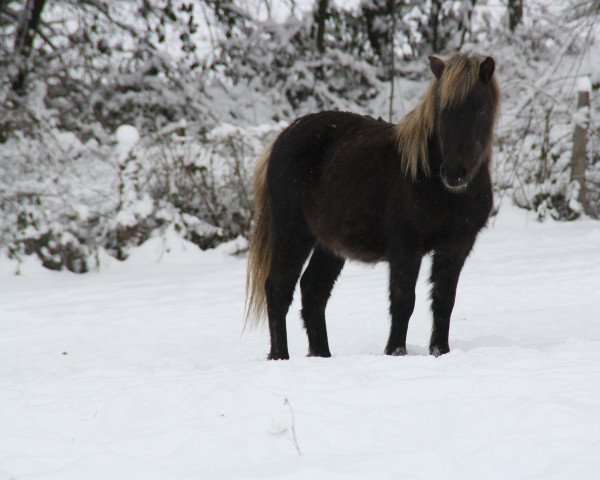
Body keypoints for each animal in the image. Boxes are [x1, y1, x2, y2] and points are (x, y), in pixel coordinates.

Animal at [246, 53, 500, 360]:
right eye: (441, 111)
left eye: (480, 109)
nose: (453, 173)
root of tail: (280, 141)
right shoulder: (406, 247)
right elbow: (403, 300)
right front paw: (396, 352)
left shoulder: (456, 246)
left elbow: (443, 301)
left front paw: (441, 351)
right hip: (292, 234)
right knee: (279, 288)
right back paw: (280, 356)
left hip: (328, 246)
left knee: (313, 291)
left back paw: (323, 355)